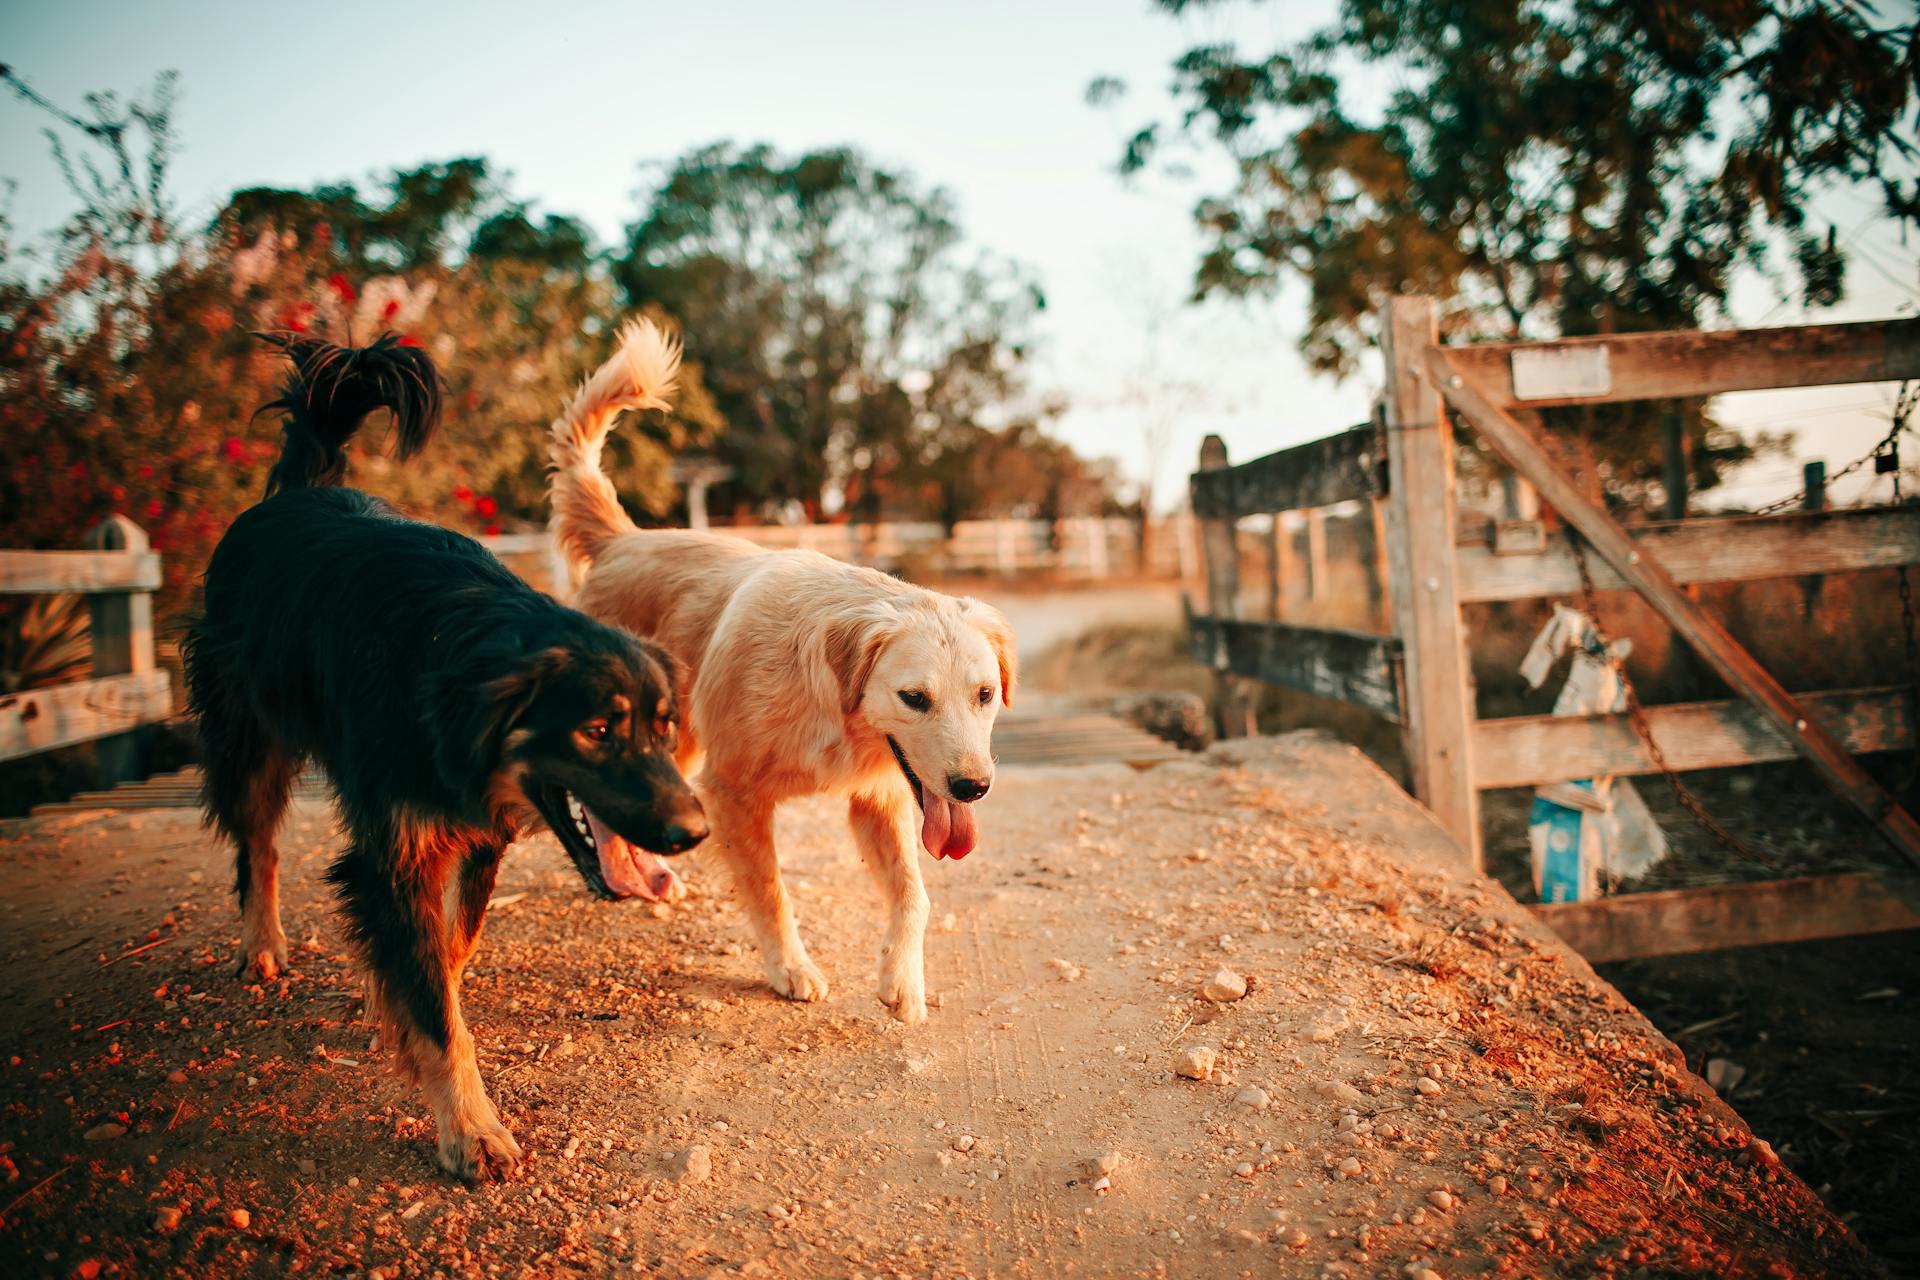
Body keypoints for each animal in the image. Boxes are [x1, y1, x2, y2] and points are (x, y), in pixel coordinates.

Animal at [183, 333, 710, 1182]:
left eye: (665, 727)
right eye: (597, 731)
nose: (695, 833)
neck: (455, 661)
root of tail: (296, 492)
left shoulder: (478, 832)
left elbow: (448, 954)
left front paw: (399, 1000)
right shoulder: (394, 848)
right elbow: (434, 1004)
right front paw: (469, 1128)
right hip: (247, 737)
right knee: (256, 846)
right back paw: (260, 944)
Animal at [545, 320, 1021, 1020]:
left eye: (985, 695)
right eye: (915, 698)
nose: (973, 788)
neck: (830, 708)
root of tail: (622, 539)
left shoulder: (877, 797)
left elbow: (915, 895)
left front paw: (901, 980)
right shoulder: (733, 792)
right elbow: (770, 891)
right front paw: (790, 967)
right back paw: (624, 873)